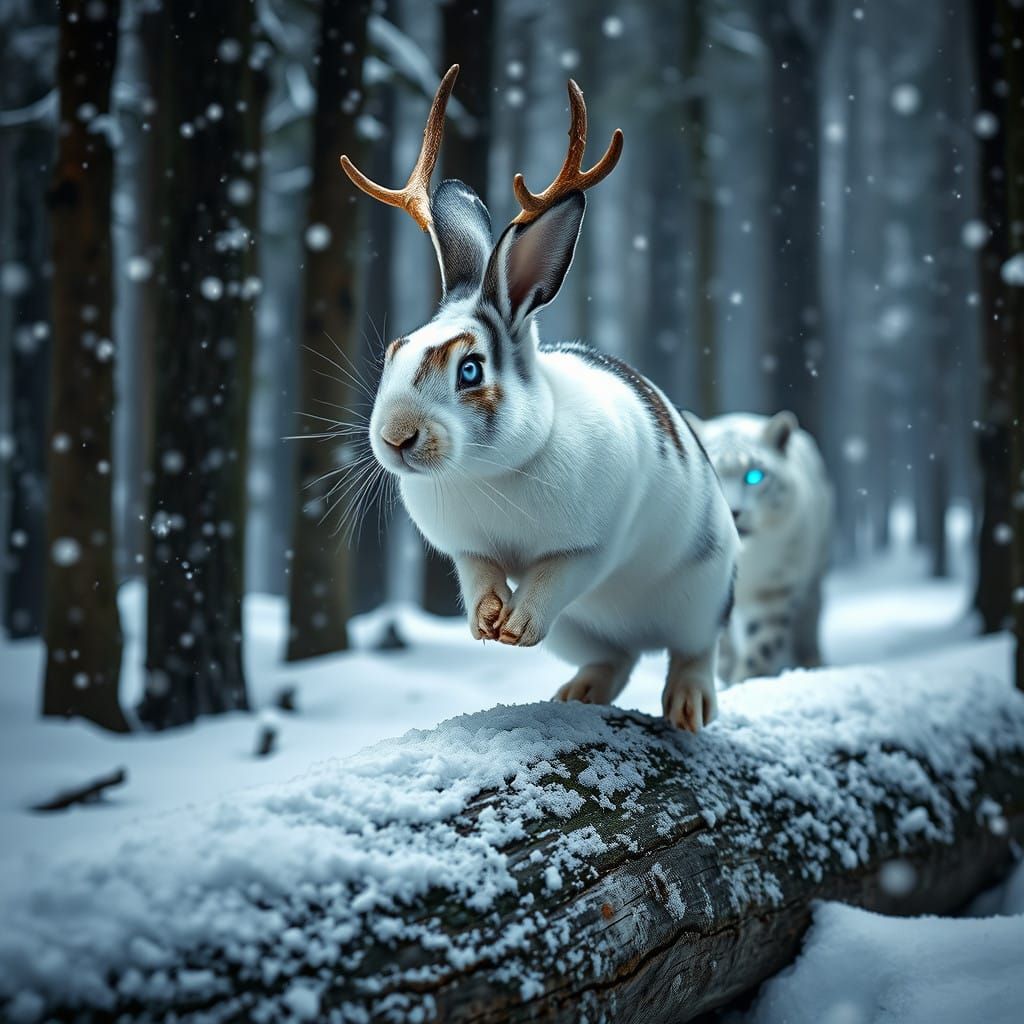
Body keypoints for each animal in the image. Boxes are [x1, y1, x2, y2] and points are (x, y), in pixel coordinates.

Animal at [342, 67, 738, 731]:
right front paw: (488, 621)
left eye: (470, 369)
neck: (488, 470)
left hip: (704, 594)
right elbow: (478, 574)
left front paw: (518, 626)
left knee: (691, 652)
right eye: (395, 350)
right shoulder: (466, 549)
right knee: (618, 659)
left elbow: (555, 576)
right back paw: (576, 694)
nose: (396, 438)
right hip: (586, 634)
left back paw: (688, 709)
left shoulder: (591, 548)